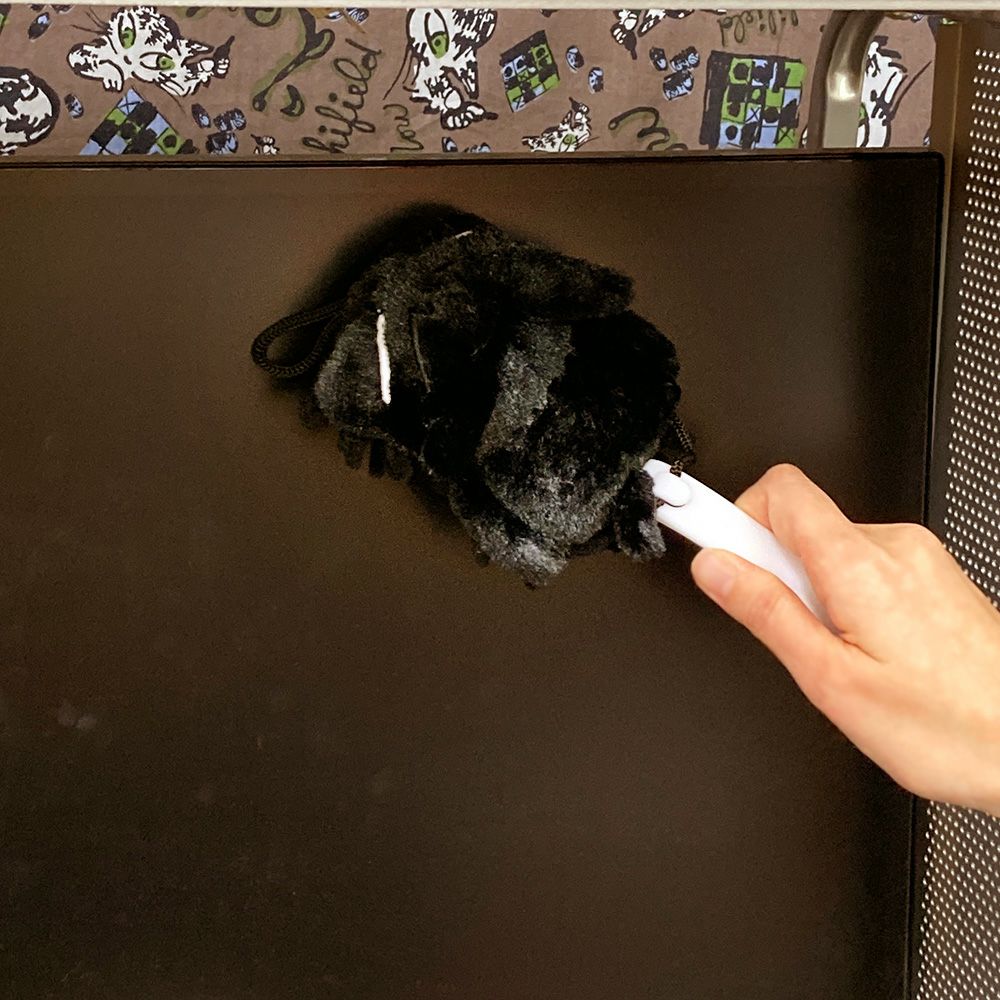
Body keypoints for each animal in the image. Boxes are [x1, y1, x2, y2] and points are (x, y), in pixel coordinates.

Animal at [68, 7, 232, 98]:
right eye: (126, 35)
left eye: (163, 62)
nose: (128, 59)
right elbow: (77, 56)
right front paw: (112, 74)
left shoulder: (178, 83)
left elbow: (184, 85)